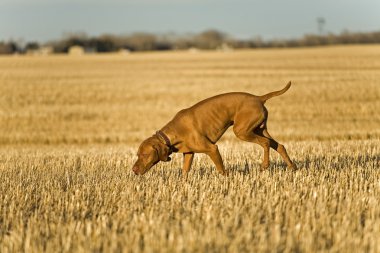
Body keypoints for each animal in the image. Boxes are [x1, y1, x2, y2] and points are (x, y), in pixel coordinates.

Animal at [133, 82, 296, 175]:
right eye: (138, 154)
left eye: (145, 155)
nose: (133, 170)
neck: (172, 134)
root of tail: (259, 98)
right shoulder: (189, 153)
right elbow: (184, 173)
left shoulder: (212, 149)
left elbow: (221, 170)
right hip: (258, 129)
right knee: (279, 146)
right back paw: (292, 167)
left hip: (242, 131)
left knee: (265, 143)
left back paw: (265, 165)